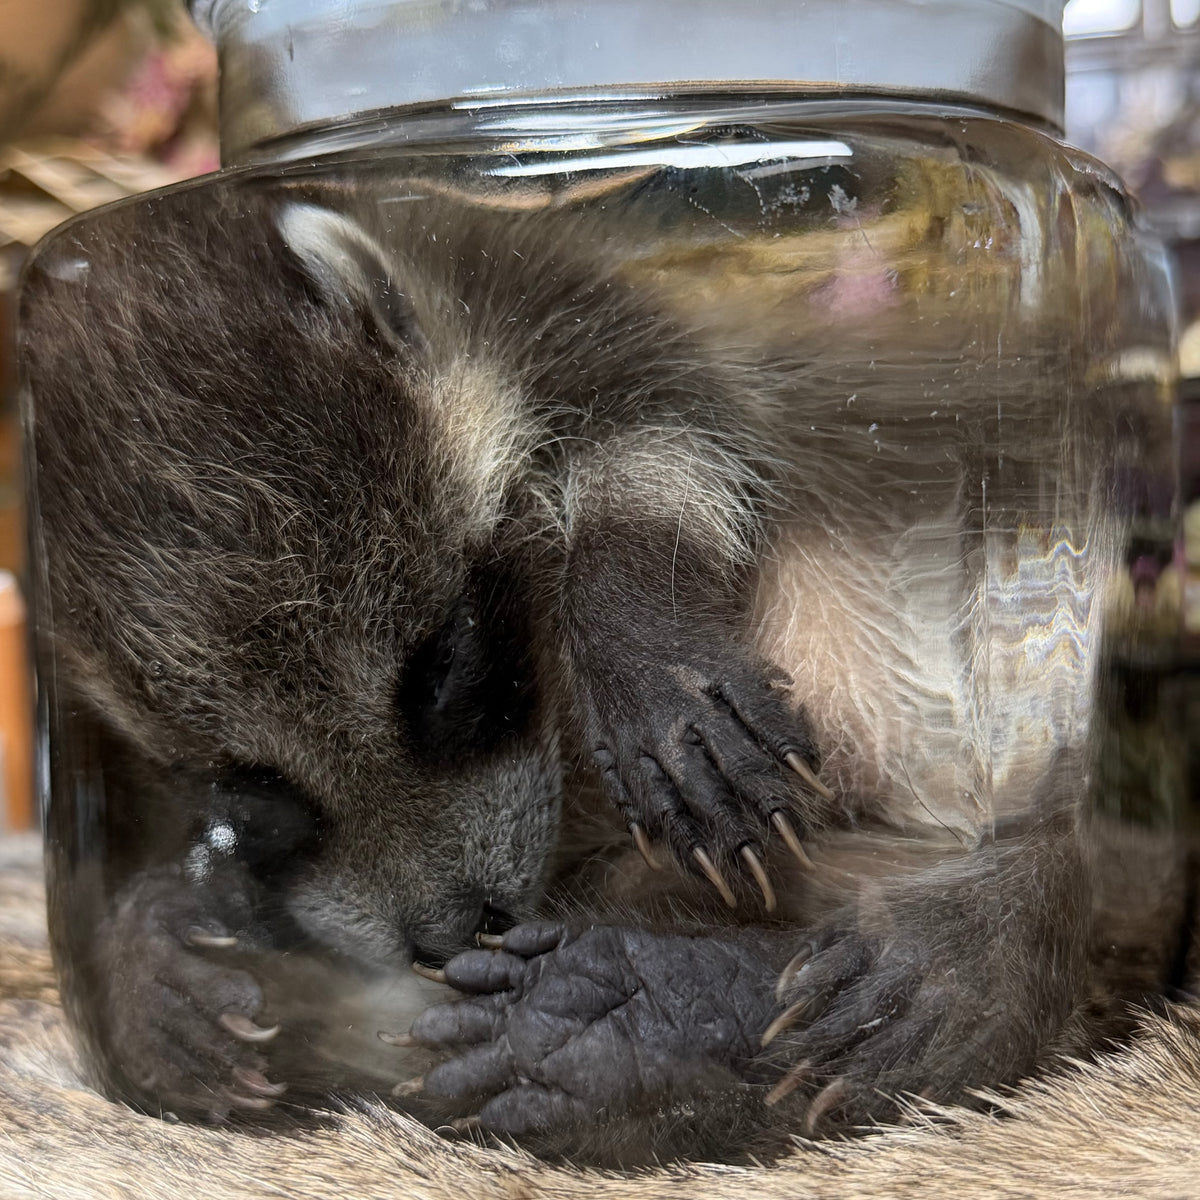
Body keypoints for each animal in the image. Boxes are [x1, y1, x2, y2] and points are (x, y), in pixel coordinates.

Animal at [18, 168, 1169, 1164]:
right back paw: (659, 1027)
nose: (449, 935)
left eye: (442, 667)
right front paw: (158, 933)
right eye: (250, 784)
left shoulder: (577, 297)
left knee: (1035, 903)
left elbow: (675, 442)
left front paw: (636, 634)